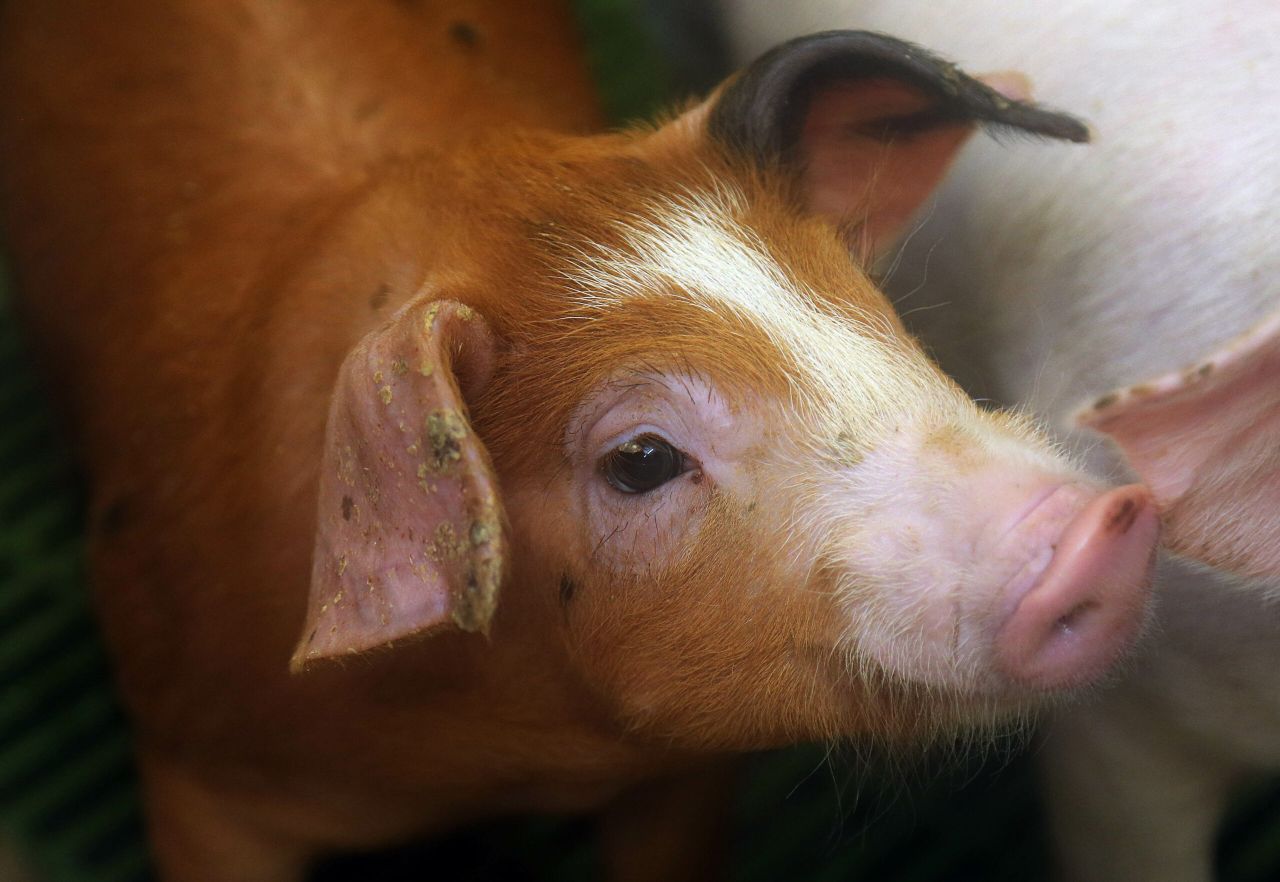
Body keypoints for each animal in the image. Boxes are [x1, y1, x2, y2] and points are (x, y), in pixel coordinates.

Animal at [0, 4, 1160, 881]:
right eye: (639, 459)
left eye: (874, 317)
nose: (1099, 523)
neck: (503, 751)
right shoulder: (193, 766)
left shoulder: (679, 778)